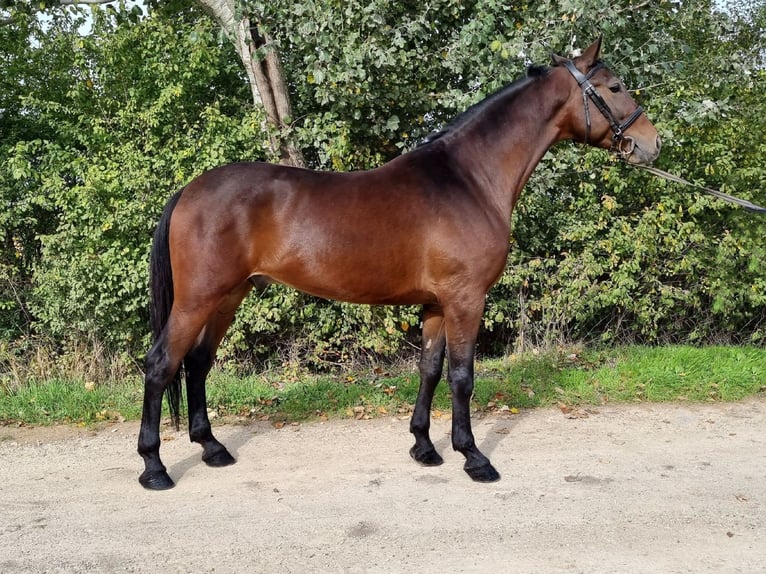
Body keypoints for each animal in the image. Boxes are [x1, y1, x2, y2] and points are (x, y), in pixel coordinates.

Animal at [140, 39, 664, 490]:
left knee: (198, 364)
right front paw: (473, 457)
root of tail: (189, 190)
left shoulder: (436, 304)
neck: (470, 179)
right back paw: (154, 467)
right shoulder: (466, 299)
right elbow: (462, 377)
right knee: (161, 363)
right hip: (198, 299)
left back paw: (212, 449)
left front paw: (424, 448)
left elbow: (429, 369)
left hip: (228, 296)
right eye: (615, 87)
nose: (651, 143)